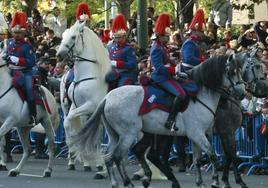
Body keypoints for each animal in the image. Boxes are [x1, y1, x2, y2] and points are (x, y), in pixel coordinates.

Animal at [56, 20, 111, 170]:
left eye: (73, 37)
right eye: (63, 36)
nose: (59, 54)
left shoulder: (90, 106)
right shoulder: (76, 105)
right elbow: (68, 123)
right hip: (66, 106)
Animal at [71, 56, 247, 188]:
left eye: (241, 71)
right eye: (231, 72)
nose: (242, 93)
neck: (200, 94)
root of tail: (107, 98)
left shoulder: (199, 135)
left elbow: (200, 159)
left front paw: (203, 182)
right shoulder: (199, 133)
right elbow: (214, 155)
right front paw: (218, 182)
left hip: (115, 134)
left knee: (110, 157)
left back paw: (118, 182)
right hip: (129, 134)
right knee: (119, 156)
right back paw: (129, 182)